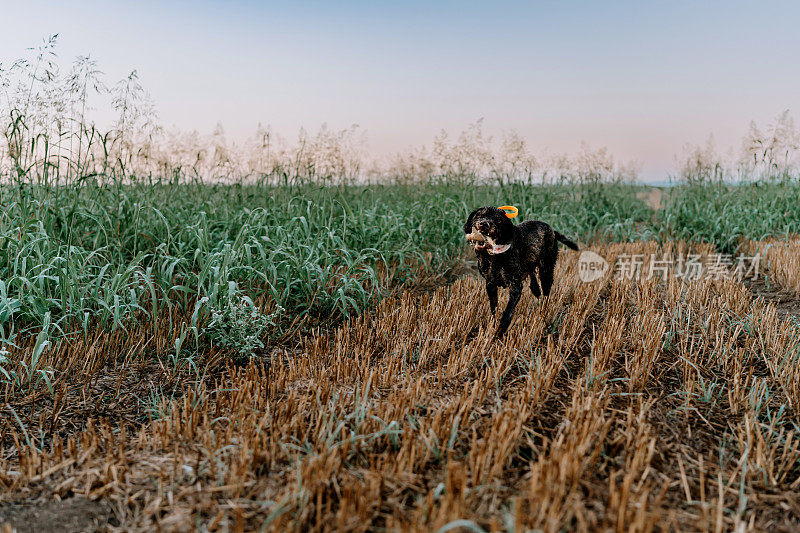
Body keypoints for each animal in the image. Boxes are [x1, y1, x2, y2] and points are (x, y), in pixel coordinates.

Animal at [466, 207, 580, 336]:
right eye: (478, 216)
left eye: (497, 219)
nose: (483, 225)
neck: (493, 257)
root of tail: (552, 231)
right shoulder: (490, 284)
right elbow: (493, 308)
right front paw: (492, 327)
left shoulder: (515, 287)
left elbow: (507, 313)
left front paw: (499, 333)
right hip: (532, 272)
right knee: (536, 290)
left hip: (546, 271)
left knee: (546, 295)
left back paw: (544, 316)